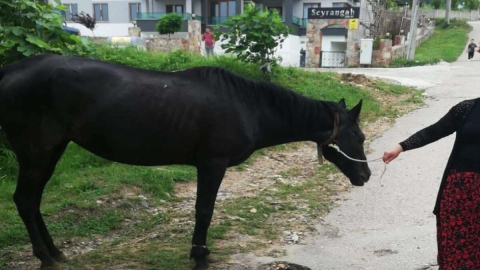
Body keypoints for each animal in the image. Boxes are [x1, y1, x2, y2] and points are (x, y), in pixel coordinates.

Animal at [0, 53, 372, 268]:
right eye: (359, 137)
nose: (365, 176)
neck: (246, 105)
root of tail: (8, 72)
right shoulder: (212, 164)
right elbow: (204, 211)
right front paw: (200, 255)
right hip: (37, 152)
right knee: (25, 201)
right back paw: (46, 258)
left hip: (52, 150)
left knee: (32, 202)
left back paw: (55, 253)